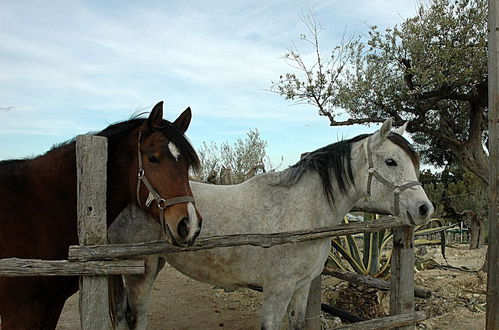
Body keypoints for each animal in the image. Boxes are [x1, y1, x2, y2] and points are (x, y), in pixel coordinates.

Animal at [0, 101, 203, 330]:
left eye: (187, 164)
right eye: (152, 158)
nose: (190, 225)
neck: (39, 206)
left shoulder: (52, 306)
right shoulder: (20, 311)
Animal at [108, 119, 434, 330]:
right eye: (391, 162)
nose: (424, 209)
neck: (301, 211)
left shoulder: (301, 287)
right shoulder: (278, 289)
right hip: (142, 272)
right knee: (136, 317)